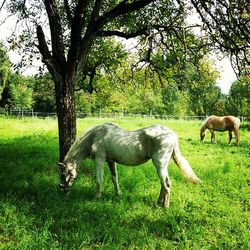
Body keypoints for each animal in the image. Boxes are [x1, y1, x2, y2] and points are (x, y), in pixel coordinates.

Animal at [58, 122, 199, 207]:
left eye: (65, 173)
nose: (64, 190)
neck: (94, 136)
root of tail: (172, 135)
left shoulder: (99, 160)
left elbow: (99, 179)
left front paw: (97, 197)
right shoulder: (111, 161)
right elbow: (115, 178)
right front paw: (117, 195)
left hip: (160, 165)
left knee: (167, 185)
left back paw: (165, 206)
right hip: (162, 167)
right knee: (164, 185)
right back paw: (158, 202)